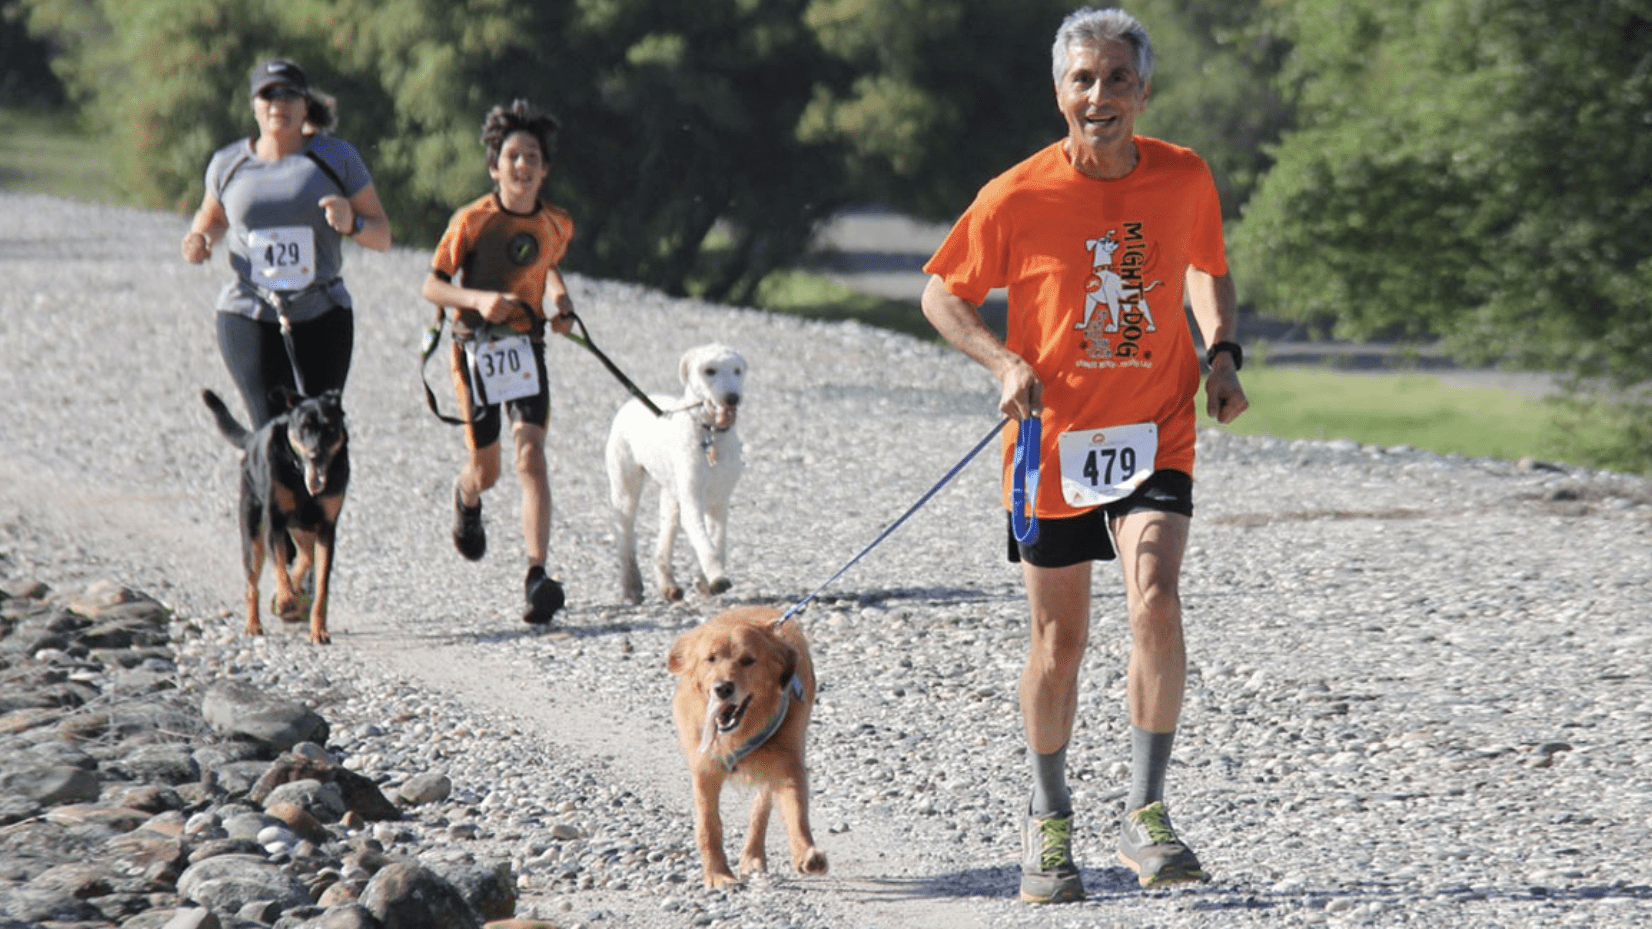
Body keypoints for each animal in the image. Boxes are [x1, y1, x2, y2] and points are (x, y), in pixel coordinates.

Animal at [204, 386, 351, 641]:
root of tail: (253, 439)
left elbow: (321, 586)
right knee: (252, 582)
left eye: (331, 428)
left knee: (306, 557)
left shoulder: (326, 529)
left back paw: (296, 595)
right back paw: (254, 623)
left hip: (303, 528)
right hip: (254, 532)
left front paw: (319, 630)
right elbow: (280, 565)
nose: (315, 455)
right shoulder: (274, 522)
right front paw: (284, 599)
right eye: (304, 427)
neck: (302, 477)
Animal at [607, 342, 750, 601]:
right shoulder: (693, 499)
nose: (732, 398)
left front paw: (706, 581)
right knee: (625, 536)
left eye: (737, 371)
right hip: (625, 487)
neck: (710, 433)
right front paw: (717, 577)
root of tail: (632, 403)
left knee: (663, 542)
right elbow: (705, 542)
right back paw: (631, 585)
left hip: (671, 497)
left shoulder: (720, 499)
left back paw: (667, 584)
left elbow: (718, 540)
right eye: (709, 370)